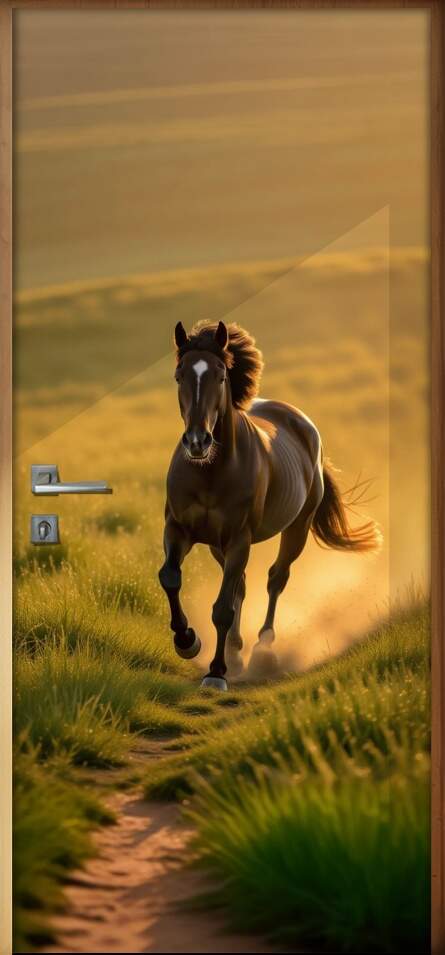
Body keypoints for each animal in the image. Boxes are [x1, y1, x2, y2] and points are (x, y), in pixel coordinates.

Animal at [159, 320, 381, 690]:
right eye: (179, 376)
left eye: (220, 376)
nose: (198, 442)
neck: (210, 471)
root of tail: (302, 423)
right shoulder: (178, 529)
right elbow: (170, 578)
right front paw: (187, 641)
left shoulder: (239, 539)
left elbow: (222, 608)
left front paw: (215, 673)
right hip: (218, 545)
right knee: (242, 585)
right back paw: (235, 652)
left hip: (296, 529)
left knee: (276, 579)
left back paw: (261, 650)